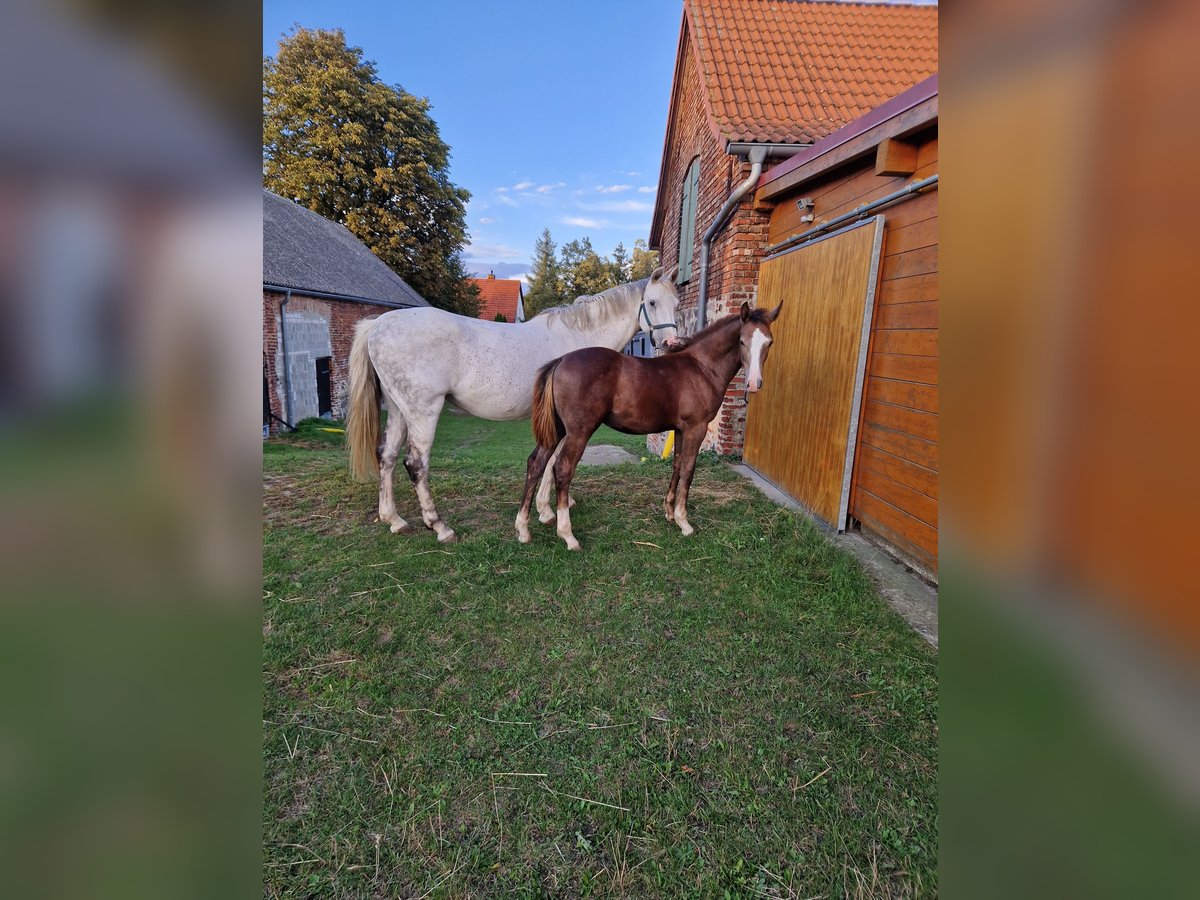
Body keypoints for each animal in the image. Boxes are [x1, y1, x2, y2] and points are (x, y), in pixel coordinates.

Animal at [350, 267, 681, 542]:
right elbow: (551, 464)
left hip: (398, 410)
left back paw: (394, 519)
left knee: (387, 456)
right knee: (416, 464)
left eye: (676, 304)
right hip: (423, 411)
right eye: (652, 302)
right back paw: (440, 526)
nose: (671, 345)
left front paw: (543, 510)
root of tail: (379, 324)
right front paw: (547, 513)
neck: (578, 338)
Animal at [513, 304, 777, 549]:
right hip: (579, 431)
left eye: (769, 342)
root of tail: (560, 360)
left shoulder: (680, 429)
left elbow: (677, 465)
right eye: (742, 341)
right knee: (562, 469)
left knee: (536, 463)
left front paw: (669, 512)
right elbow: (689, 469)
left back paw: (523, 529)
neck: (702, 367)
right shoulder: (696, 428)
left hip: (557, 430)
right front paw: (684, 522)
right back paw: (568, 536)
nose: (754, 384)